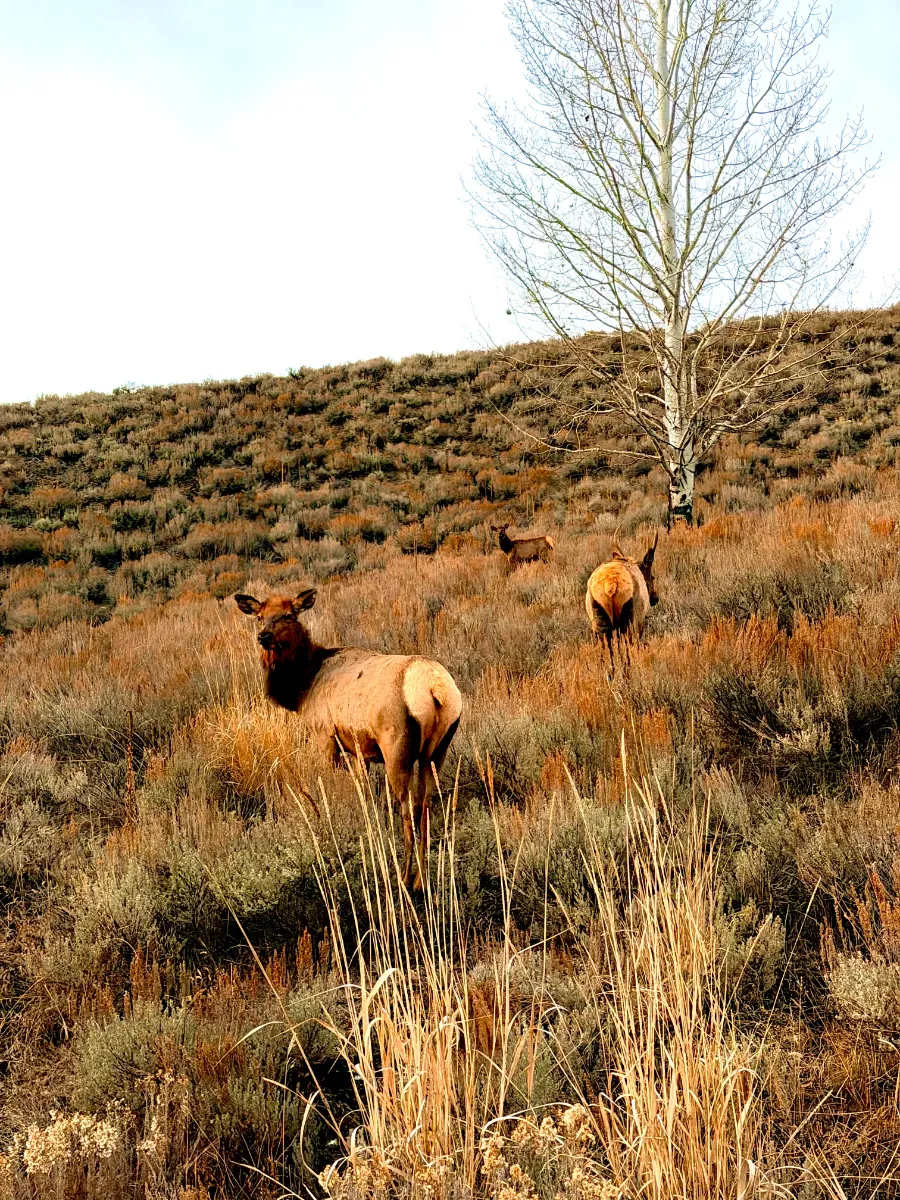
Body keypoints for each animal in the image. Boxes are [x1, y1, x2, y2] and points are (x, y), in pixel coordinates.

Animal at [234, 588, 462, 891]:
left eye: (289, 615)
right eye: (259, 616)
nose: (264, 636)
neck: (303, 688)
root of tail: (435, 688)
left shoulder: (325, 735)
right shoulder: (359, 751)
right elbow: (364, 795)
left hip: (396, 745)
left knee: (406, 808)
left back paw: (404, 878)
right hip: (437, 750)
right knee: (426, 803)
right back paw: (421, 879)